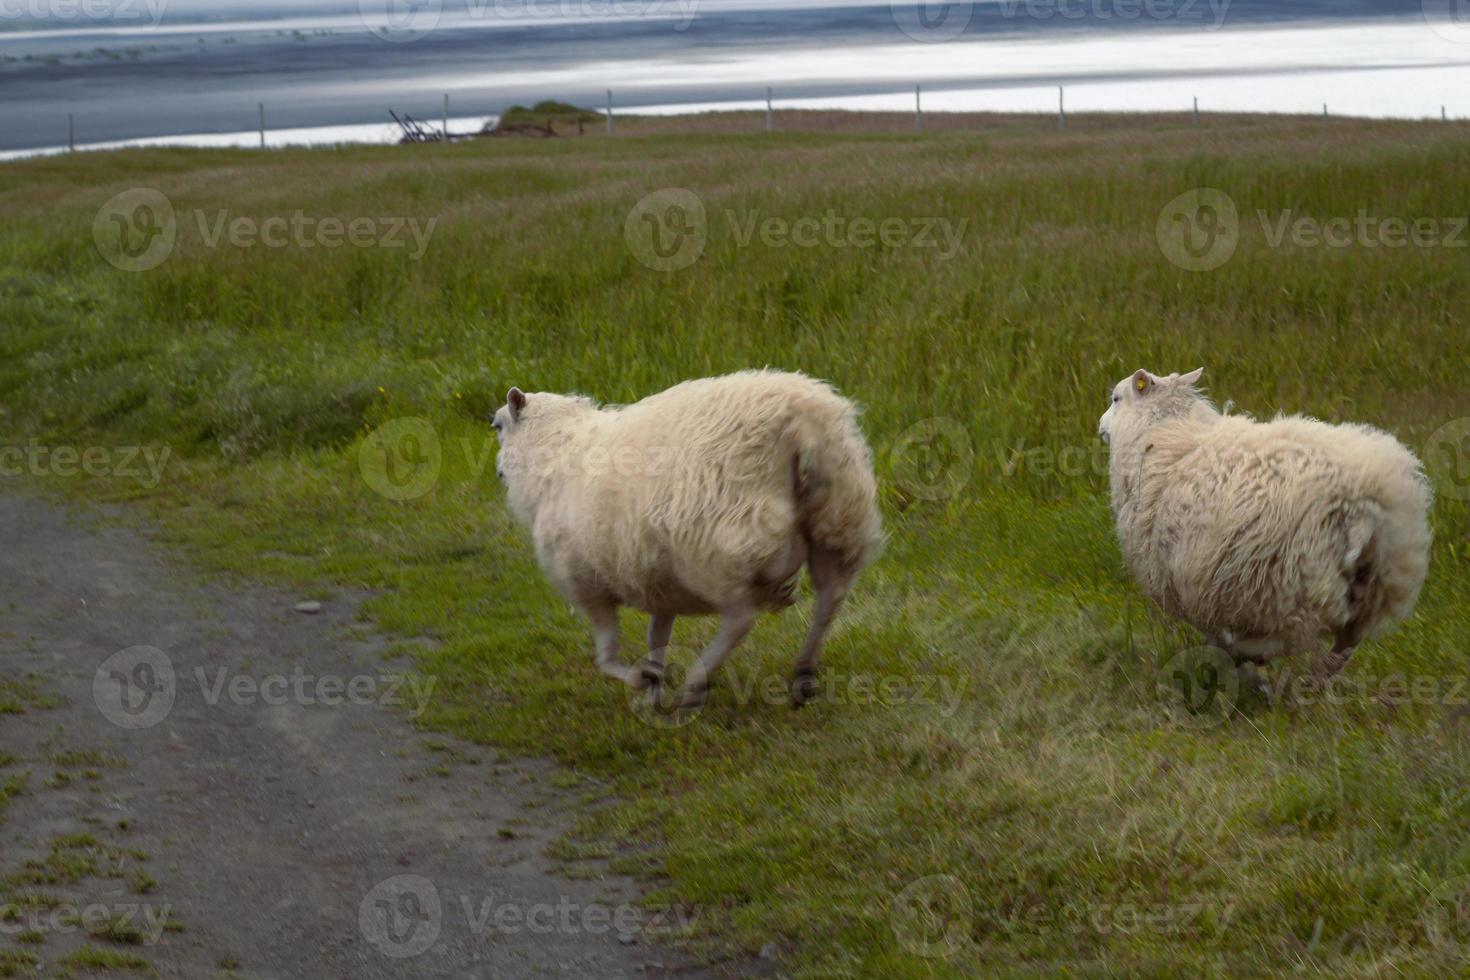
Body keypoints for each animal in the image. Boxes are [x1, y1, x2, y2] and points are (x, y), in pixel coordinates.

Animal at [490, 371, 882, 708]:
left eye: (497, 425)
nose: (497, 471)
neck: (553, 453)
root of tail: (802, 422)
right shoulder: (659, 582)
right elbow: (656, 637)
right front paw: (654, 686)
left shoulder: (584, 582)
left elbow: (606, 652)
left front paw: (642, 679)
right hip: (840, 519)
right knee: (830, 598)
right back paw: (803, 675)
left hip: (715, 548)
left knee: (740, 618)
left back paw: (695, 684)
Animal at [1099, 367, 1428, 675]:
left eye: (1116, 398)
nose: (1100, 426)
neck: (1161, 432)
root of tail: (1362, 504)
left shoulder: (1196, 580)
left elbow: (1217, 635)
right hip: (1377, 584)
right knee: (1341, 651)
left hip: (1292, 582)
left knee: (1299, 640)